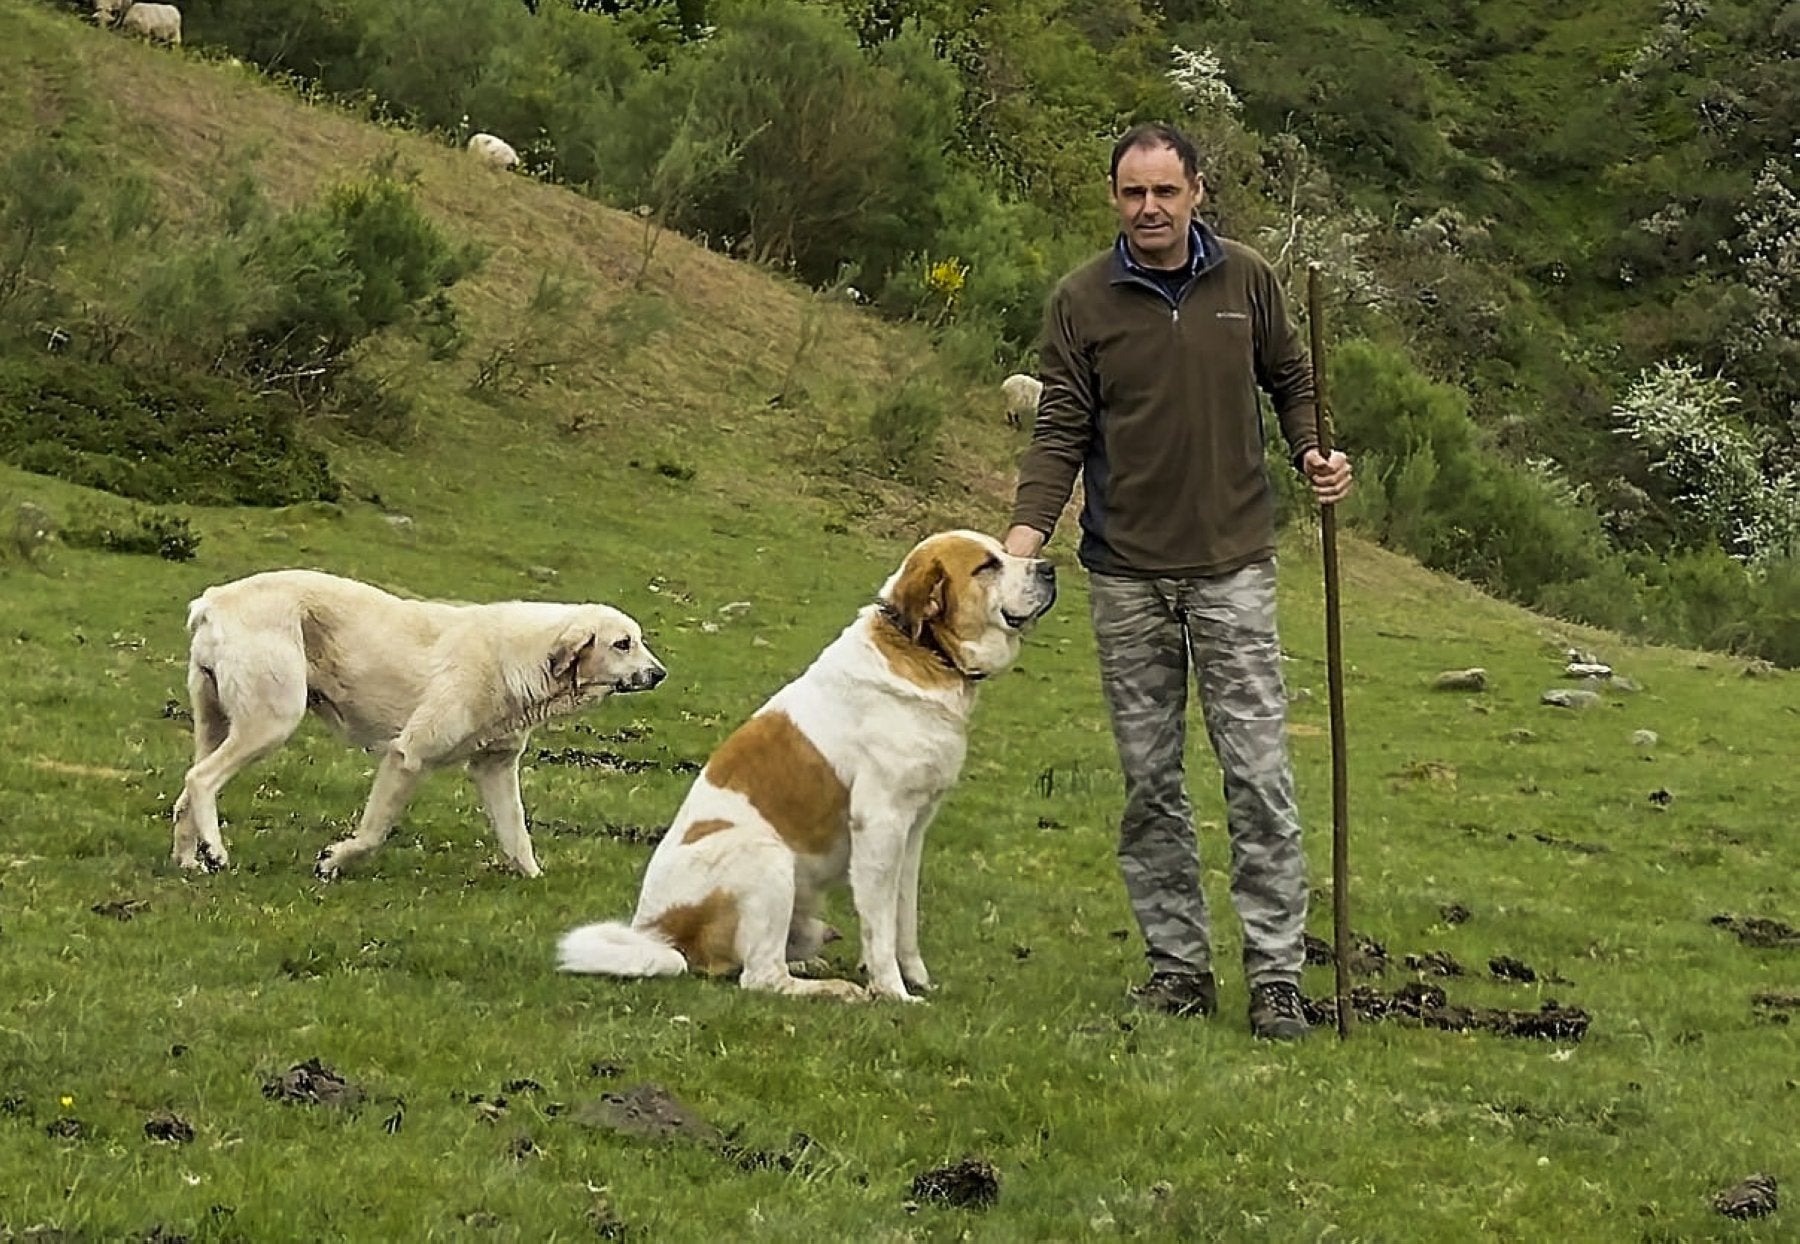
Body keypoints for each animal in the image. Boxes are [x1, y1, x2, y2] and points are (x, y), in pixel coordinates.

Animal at [171, 568, 666, 882]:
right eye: (623, 643)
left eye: (637, 641)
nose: (661, 674)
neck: (524, 659)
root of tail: (214, 600)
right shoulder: (408, 755)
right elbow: (373, 833)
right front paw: (333, 861)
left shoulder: (495, 768)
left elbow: (517, 836)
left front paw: (534, 880)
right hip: (271, 720)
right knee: (201, 779)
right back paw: (215, 851)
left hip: (216, 724)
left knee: (185, 794)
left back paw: (189, 861)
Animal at [554, 529, 1051, 1008]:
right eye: (987, 566)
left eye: (1005, 552)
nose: (1048, 568)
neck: (924, 651)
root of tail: (659, 934)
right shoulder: (880, 825)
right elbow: (879, 925)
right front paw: (893, 992)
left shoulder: (913, 831)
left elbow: (903, 918)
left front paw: (917, 979)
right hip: (767, 855)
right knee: (761, 977)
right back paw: (832, 989)